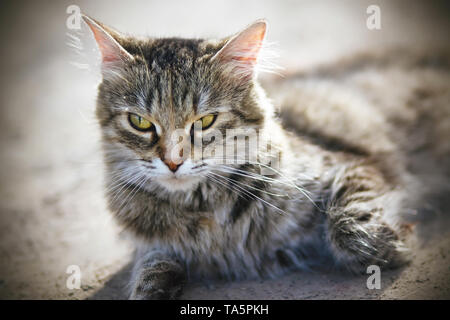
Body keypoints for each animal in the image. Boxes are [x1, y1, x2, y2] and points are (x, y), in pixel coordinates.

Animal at [82, 15, 450, 300]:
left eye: (206, 121)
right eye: (140, 122)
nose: (173, 162)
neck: (203, 210)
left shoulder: (350, 164)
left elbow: (349, 227)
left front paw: (397, 242)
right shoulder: (151, 246)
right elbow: (150, 269)